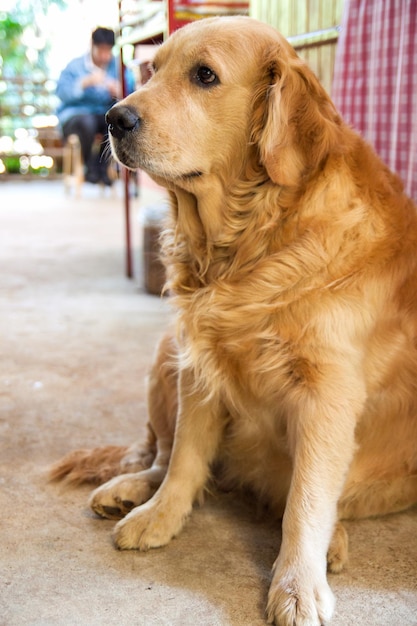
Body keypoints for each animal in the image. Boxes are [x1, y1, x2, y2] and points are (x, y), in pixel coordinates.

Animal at [50, 15, 416, 624]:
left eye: (205, 75)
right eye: (152, 69)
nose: (114, 119)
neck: (251, 241)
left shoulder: (329, 392)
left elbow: (306, 500)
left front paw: (297, 584)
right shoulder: (199, 359)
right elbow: (184, 458)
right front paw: (162, 515)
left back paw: (333, 540)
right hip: (164, 354)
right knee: (159, 451)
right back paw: (132, 491)